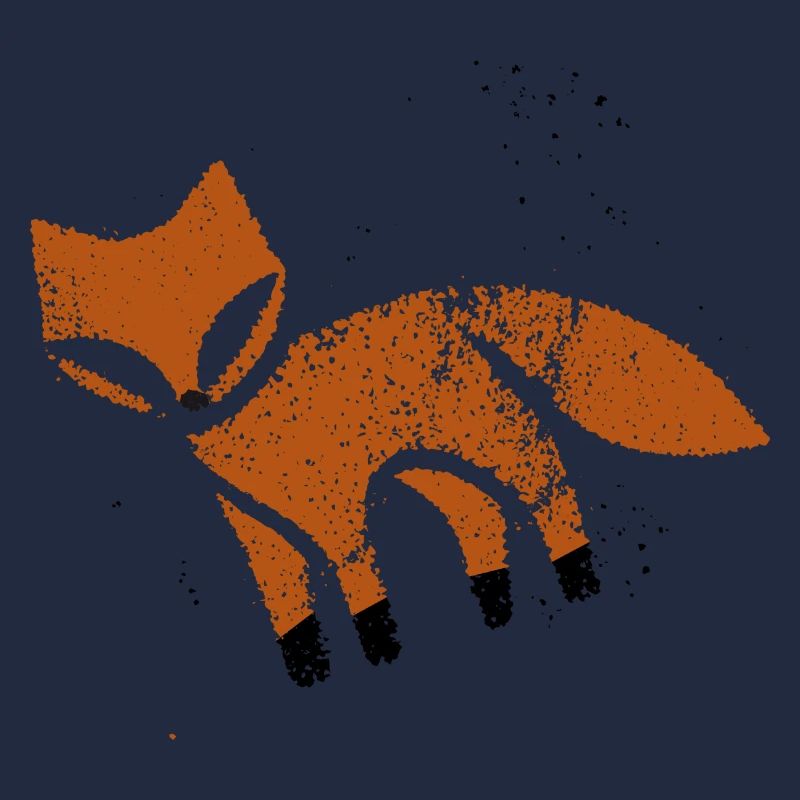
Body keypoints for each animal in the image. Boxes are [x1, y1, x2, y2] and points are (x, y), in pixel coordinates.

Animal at [31, 161, 769, 686]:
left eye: (224, 325)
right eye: (118, 358)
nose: (193, 399)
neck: (244, 434)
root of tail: (447, 293)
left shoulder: (335, 506)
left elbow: (360, 587)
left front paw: (378, 649)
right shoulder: (253, 529)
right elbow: (288, 611)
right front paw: (308, 670)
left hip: (492, 440)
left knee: (548, 485)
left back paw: (576, 578)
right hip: (429, 470)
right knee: (481, 518)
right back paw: (494, 604)